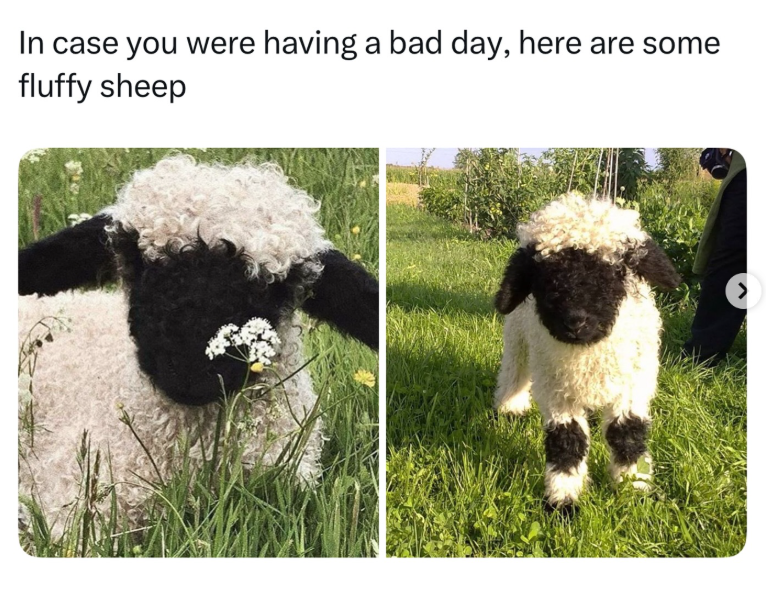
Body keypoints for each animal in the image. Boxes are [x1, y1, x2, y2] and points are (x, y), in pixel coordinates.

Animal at [493, 192, 680, 513]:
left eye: (617, 271)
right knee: (514, 370)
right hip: (518, 337)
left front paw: (633, 489)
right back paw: (511, 407)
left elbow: (626, 433)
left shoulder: (632, 386)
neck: (588, 354)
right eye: (544, 277)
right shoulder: (558, 394)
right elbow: (567, 440)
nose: (575, 321)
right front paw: (563, 500)